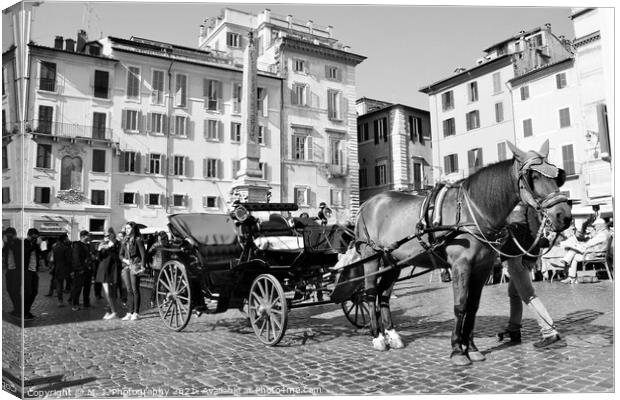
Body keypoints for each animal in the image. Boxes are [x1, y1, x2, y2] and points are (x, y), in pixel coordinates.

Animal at [354, 141, 572, 366]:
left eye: (557, 176)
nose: (564, 216)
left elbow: (473, 307)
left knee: (384, 295)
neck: (472, 212)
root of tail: (367, 204)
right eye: (533, 177)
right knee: (370, 294)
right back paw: (378, 337)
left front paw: (472, 348)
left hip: (393, 261)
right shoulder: (461, 266)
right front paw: (458, 350)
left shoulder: (482, 268)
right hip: (371, 257)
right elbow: (460, 306)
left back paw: (392, 334)